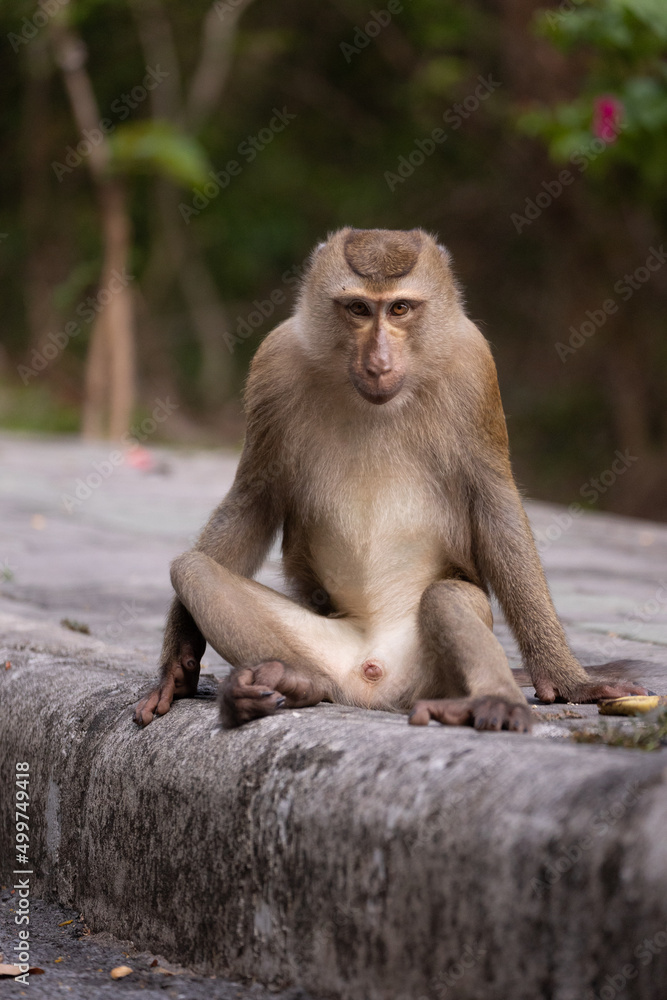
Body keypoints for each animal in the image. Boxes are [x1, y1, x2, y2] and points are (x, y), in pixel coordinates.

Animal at [135, 227, 647, 734]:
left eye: (400, 308)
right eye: (359, 308)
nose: (379, 363)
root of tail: (375, 684)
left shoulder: (474, 367)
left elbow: (494, 505)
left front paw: (570, 681)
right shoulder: (273, 365)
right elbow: (252, 500)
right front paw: (179, 658)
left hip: (429, 676)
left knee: (449, 596)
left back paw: (494, 701)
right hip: (333, 652)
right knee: (194, 570)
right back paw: (295, 683)